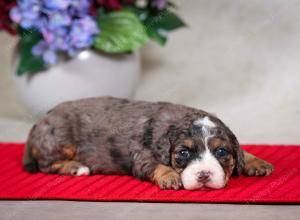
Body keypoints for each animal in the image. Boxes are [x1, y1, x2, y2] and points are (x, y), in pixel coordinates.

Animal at [24, 97, 274, 190]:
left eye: (221, 151)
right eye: (183, 153)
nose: (204, 175)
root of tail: (36, 125)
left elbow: (242, 150)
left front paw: (256, 161)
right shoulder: (141, 154)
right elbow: (156, 165)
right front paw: (170, 176)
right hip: (59, 140)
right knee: (46, 164)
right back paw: (77, 167)